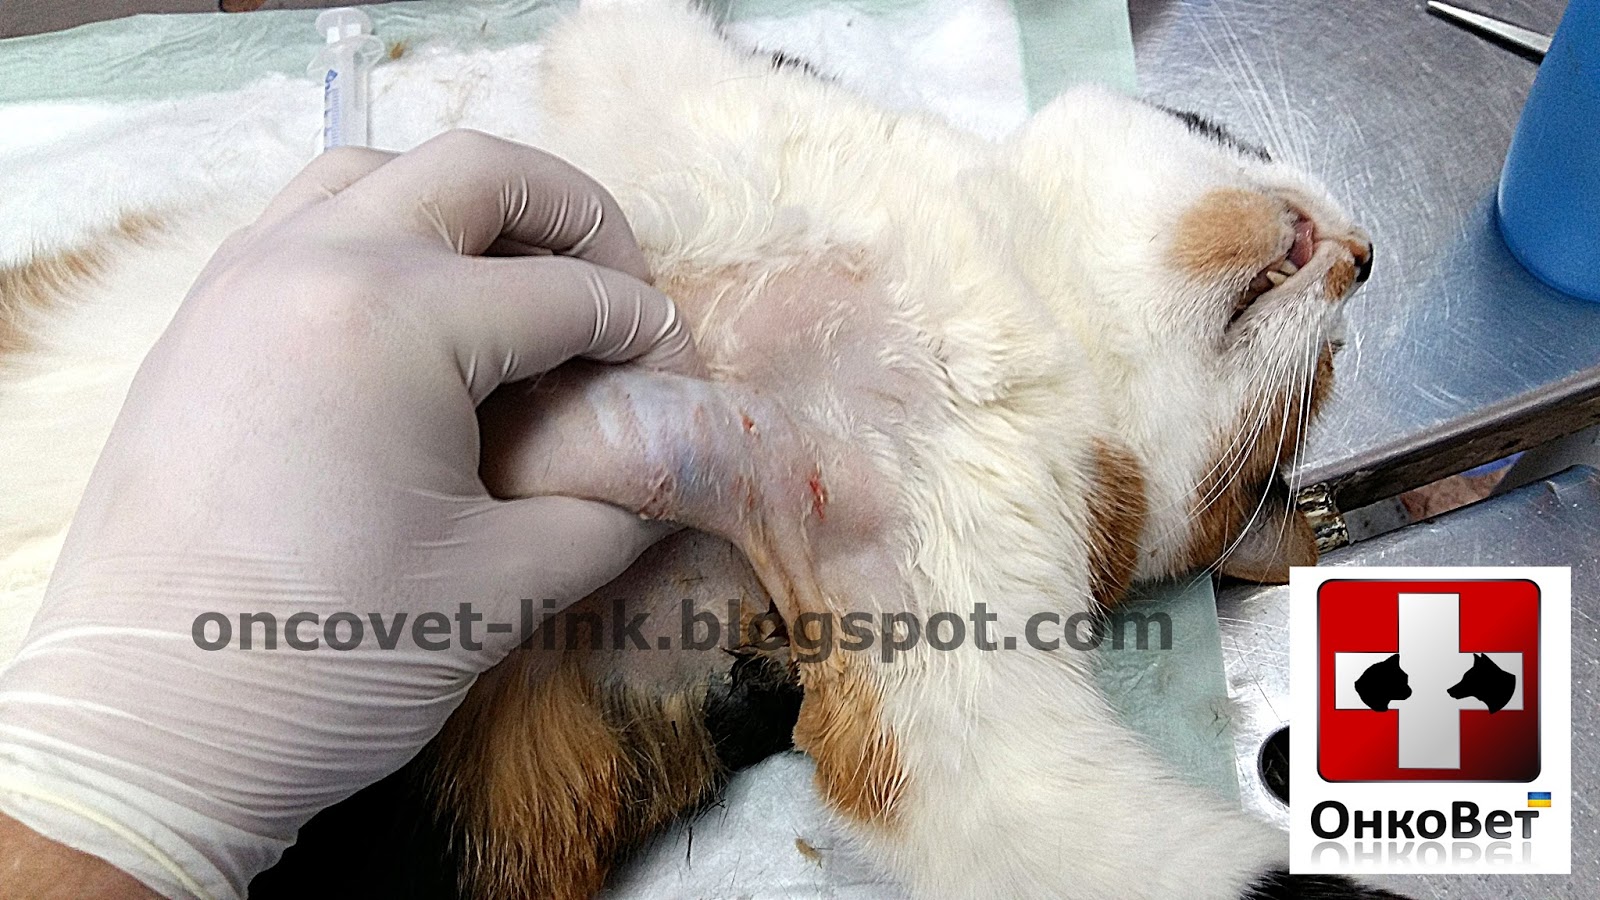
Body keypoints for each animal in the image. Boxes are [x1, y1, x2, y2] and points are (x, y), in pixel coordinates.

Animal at [0, 2, 1395, 898]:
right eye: (1216, 122)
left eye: (1317, 387)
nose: (1365, 251)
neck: (1011, 299)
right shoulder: (682, 92)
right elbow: (626, 24)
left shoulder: (946, 671)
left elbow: (1034, 821)